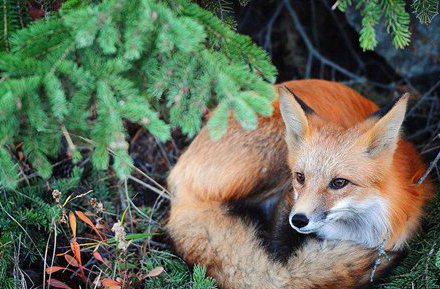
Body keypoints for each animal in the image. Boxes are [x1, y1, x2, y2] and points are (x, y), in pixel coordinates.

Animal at [167, 79, 434, 288]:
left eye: (339, 182)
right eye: (300, 177)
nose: (299, 220)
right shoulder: (288, 197)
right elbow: (277, 264)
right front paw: (279, 271)